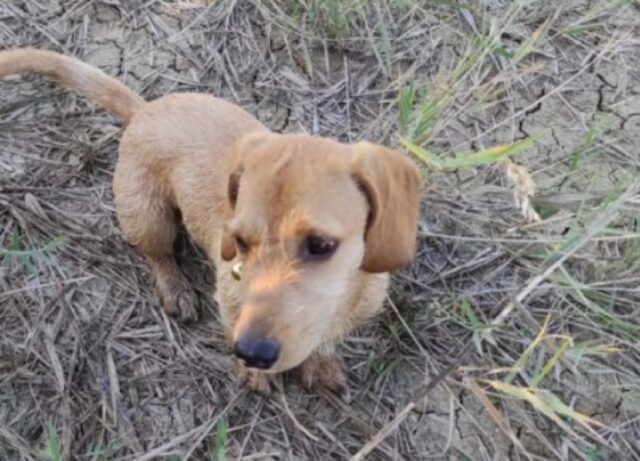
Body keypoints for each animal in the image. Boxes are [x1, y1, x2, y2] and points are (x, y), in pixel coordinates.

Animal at [2, 48, 422, 394]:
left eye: (321, 245)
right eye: (241, 243)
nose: (250, 353)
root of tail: (143, 111)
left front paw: (321, 361)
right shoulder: (230, 302)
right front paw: (255, 374)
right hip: (149, 217)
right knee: (157, 255)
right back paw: (174, 287)